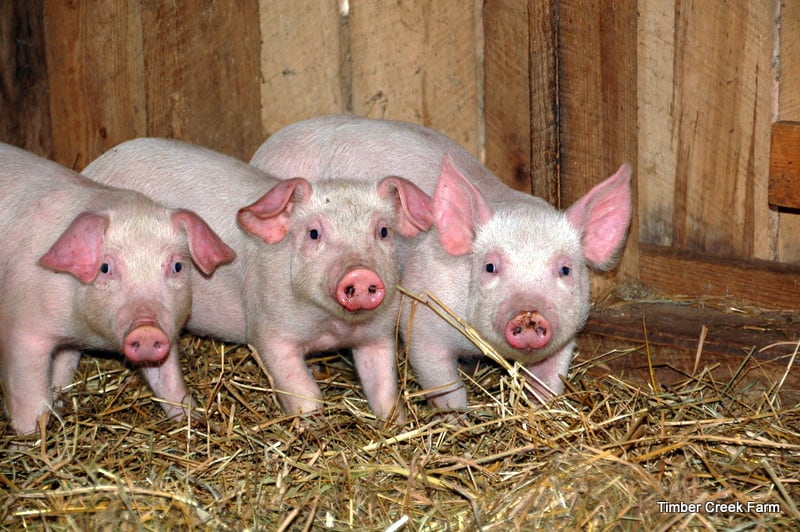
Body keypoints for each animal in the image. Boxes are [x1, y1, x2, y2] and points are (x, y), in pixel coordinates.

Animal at [0, 142, 235, 435]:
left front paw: (189, 416)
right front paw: (31, 435)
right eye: (105, 267)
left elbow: (168, 380)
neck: (88, 331)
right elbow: (29, 396)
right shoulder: (21, 329)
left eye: (178, 266)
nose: (146, 329)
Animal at [82, 138, 433, 421]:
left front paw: (396, 423)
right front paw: (312, 424)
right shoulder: (268, 329)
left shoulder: (378, 333)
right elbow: (304, 393)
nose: (360, 273)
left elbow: (385, 389)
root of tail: (96, 163)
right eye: (314, 233)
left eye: (383, 231)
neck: (331, 328)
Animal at [250, 115, 632, 409]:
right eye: (490, 267)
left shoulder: (567, 338)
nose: (528, 313)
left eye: (565, 269)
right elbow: (443, 384)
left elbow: (549, 384)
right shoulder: (422, 321)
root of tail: (264, 149)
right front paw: (459, 419)